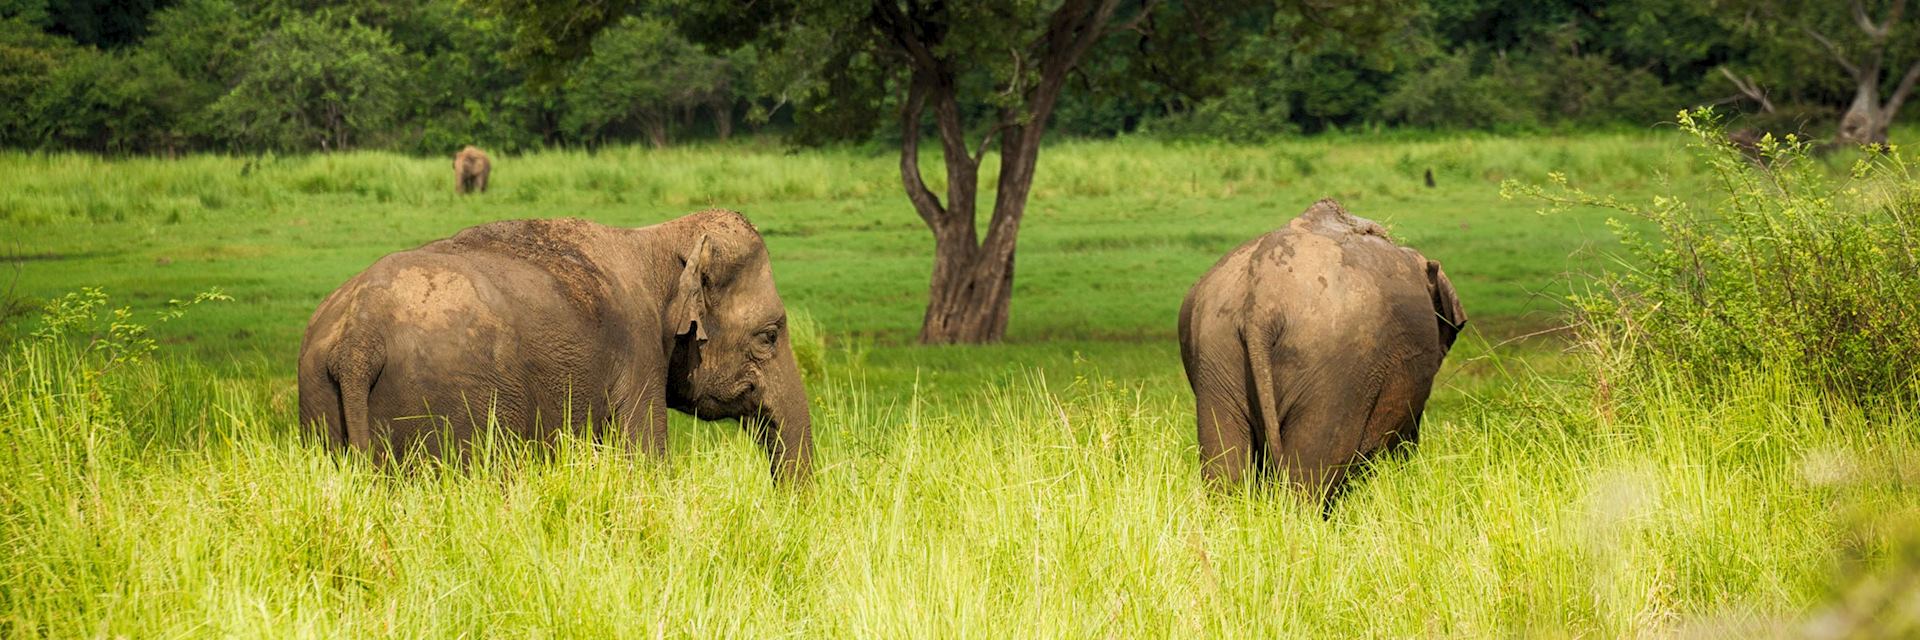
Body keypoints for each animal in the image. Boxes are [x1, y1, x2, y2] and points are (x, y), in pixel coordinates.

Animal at [295, 211, 814, 480]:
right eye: (769, 336)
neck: (657, 237)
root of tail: (359, 340)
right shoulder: (638, 354)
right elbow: (645, 460)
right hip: (450, 407)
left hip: (321, 400)